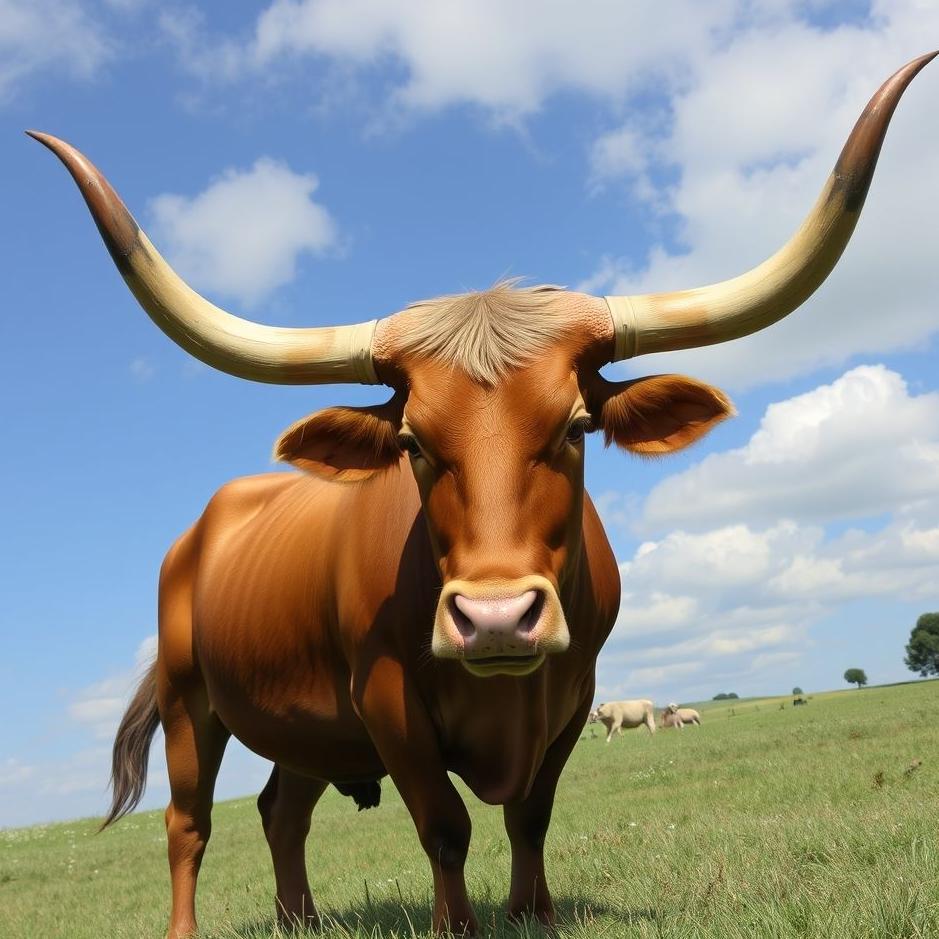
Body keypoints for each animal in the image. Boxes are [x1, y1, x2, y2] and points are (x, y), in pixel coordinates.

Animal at [29, 53, 934, 939]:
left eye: (575, 425)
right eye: (413, 444)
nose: (496, 618)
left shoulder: (573, 695)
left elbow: (530, 813)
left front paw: (532, 910)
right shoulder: (388, 703)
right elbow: (444, 824)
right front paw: (456, 924)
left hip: (301, 722)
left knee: (282, 810)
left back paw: (300, 919)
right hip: (191, 702)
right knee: (189, 822)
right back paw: (194, 924)